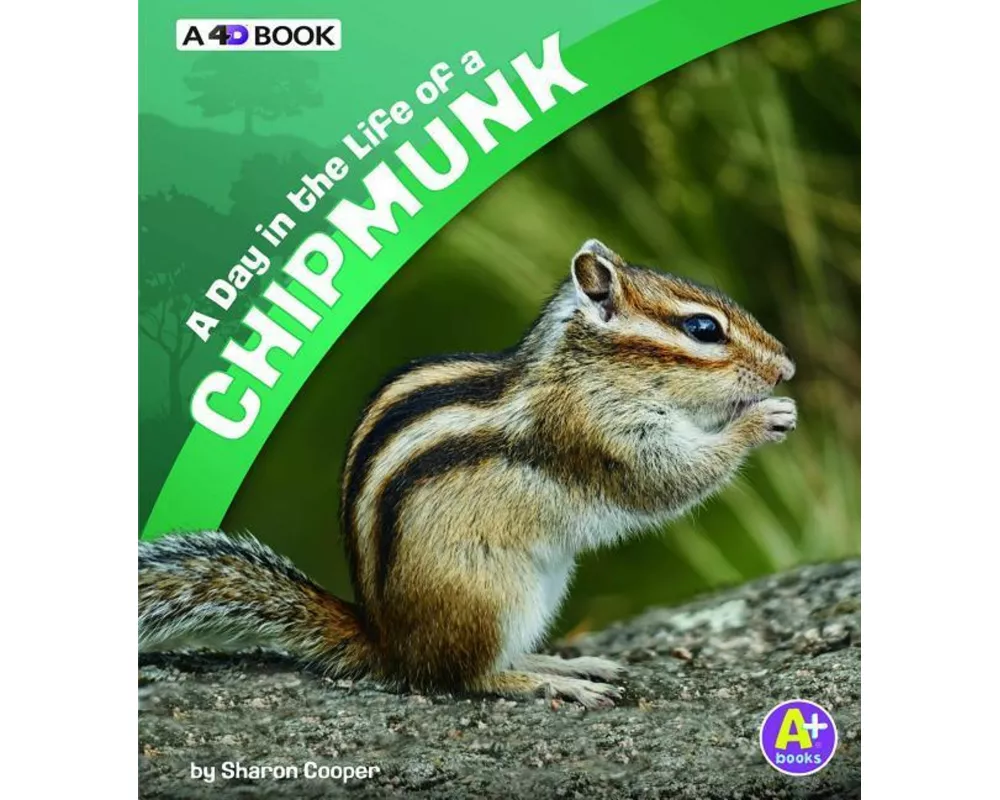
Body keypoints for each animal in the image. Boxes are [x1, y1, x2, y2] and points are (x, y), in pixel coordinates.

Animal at [139, 239, 796, 709]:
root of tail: (389, 645)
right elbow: (668, 478)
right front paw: (761, 419)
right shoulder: (597, 433)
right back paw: (552, 683)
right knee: (464, 677)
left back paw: (564, 662)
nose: (786, 368)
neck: (585, 370)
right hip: (494, 594)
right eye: (703, 329)